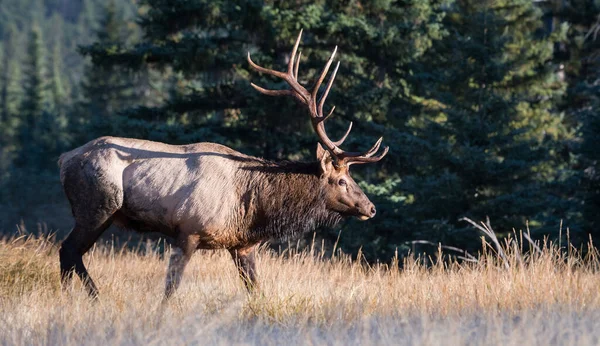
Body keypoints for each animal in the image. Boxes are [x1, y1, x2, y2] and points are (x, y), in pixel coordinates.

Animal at [58, 31, 390, 298]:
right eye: (342, 180)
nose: (372, 208)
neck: (253, 207)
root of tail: (64, 159)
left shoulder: (242, 244)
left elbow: (256, 291)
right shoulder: (188, 230)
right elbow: (171, 288)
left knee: (72, 255)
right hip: (97, 207)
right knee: (68, 251)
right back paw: (89, 298)